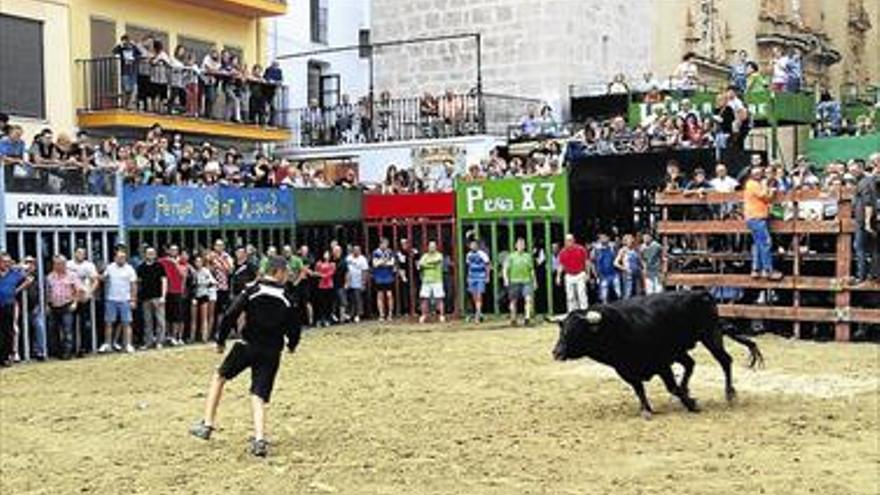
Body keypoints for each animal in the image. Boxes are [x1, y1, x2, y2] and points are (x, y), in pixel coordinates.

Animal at [552, 290, 764, 418]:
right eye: (562, 330)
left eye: (576, 331)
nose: (556, 352)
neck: (617, 328)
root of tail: (701, 293)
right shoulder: (626, 371)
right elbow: (639, 390)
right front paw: (646, 409)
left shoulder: (662, 364)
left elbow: (672, 387)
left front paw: (692, 404)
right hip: (681, 349)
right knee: (690, 364)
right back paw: (688, 388)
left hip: (710, 335)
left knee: (725, 361)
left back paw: (729, 393)